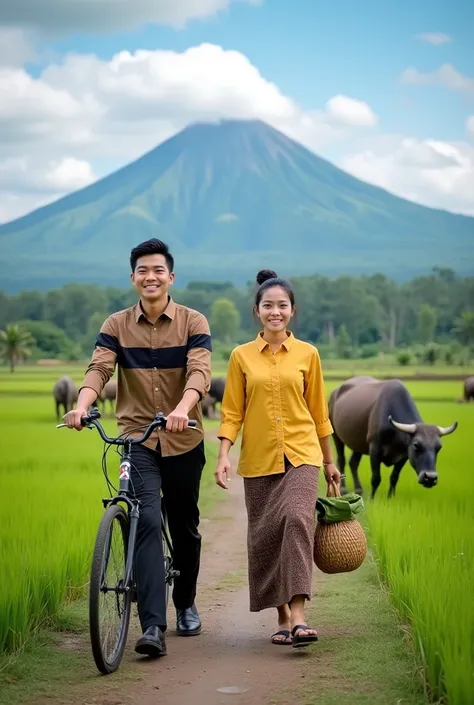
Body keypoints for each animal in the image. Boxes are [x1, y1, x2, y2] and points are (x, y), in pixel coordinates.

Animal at [328, 374, 458, 500]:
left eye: (439, 447)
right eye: (416, 445)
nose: (430, 478)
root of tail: (334, 393)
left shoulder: (404, 456)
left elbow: (394, 477)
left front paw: (390, 497)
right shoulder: (374, 449)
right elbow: (376, 478)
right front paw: (372, 498)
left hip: (358, 443)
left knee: (353, 463)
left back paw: (359, 489)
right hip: (336, 436)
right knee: (341, 460)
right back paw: (343, 489)